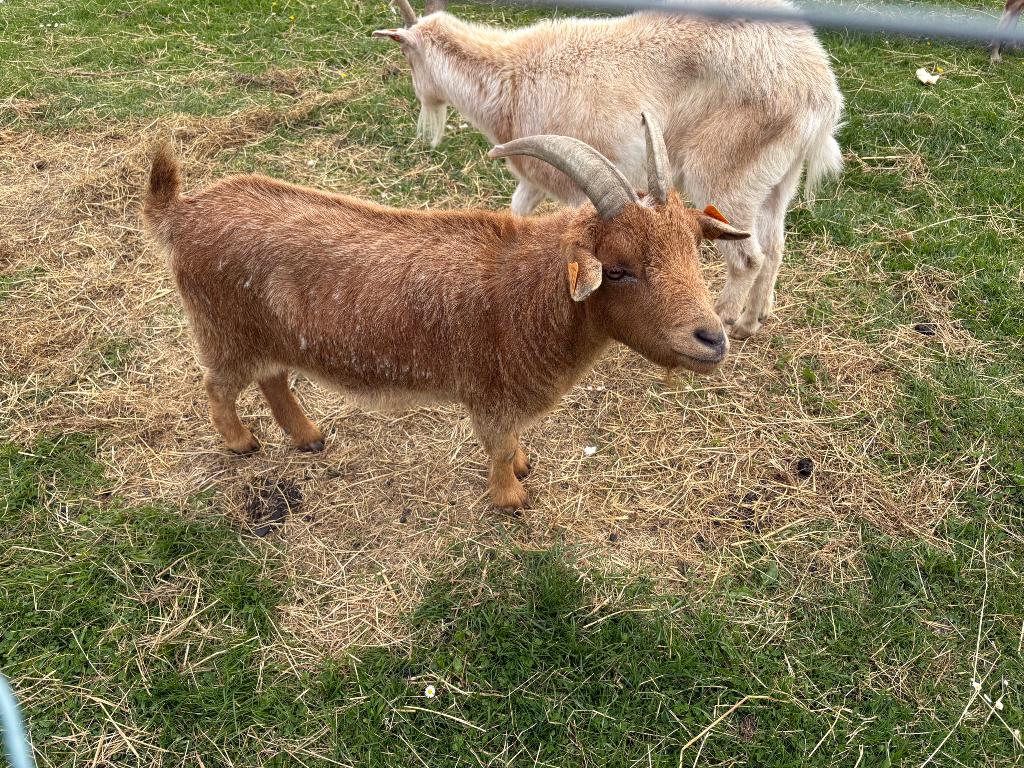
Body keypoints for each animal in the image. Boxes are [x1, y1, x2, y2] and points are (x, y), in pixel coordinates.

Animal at [142, 116, 749, 510]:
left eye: (695, 244)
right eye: (619, 269)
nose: (711, 339)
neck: (528, 289)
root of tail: (179, 213)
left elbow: (512, 445)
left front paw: (523, 467)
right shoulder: (492, 394)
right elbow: (498, 448)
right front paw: (511, 496)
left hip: (268, 334)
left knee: (273, 379)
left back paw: (308, 435)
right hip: (223, 329)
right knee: (218, 385)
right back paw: (241, 443)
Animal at [373, 0, 844, 339]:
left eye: (409, 61)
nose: (425, 129)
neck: (511, 78)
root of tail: (820, 90)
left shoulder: (575, 180)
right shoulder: (535, 179)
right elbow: (515, 213)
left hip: (726, 174)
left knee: (748, 256)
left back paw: (725, 321)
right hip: (776, 180)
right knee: (775, 244)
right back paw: (753, 320)